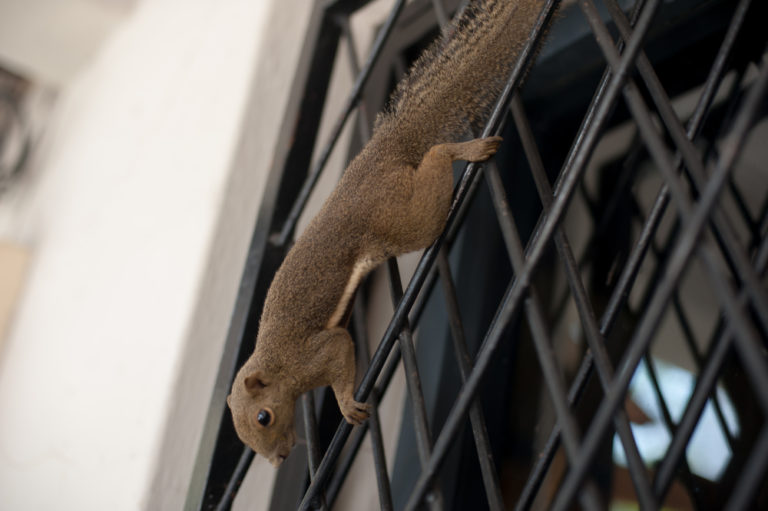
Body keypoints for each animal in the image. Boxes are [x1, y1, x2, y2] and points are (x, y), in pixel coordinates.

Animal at [227, 0, 545, 467]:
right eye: (246, 437)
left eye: (263, 417)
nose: (279, 459)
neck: (276, 365)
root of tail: (379, 154)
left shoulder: (316, 353)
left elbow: (340, 356)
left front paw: (347, 406)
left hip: (397, 218)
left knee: (435, 159)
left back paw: (466, 149)